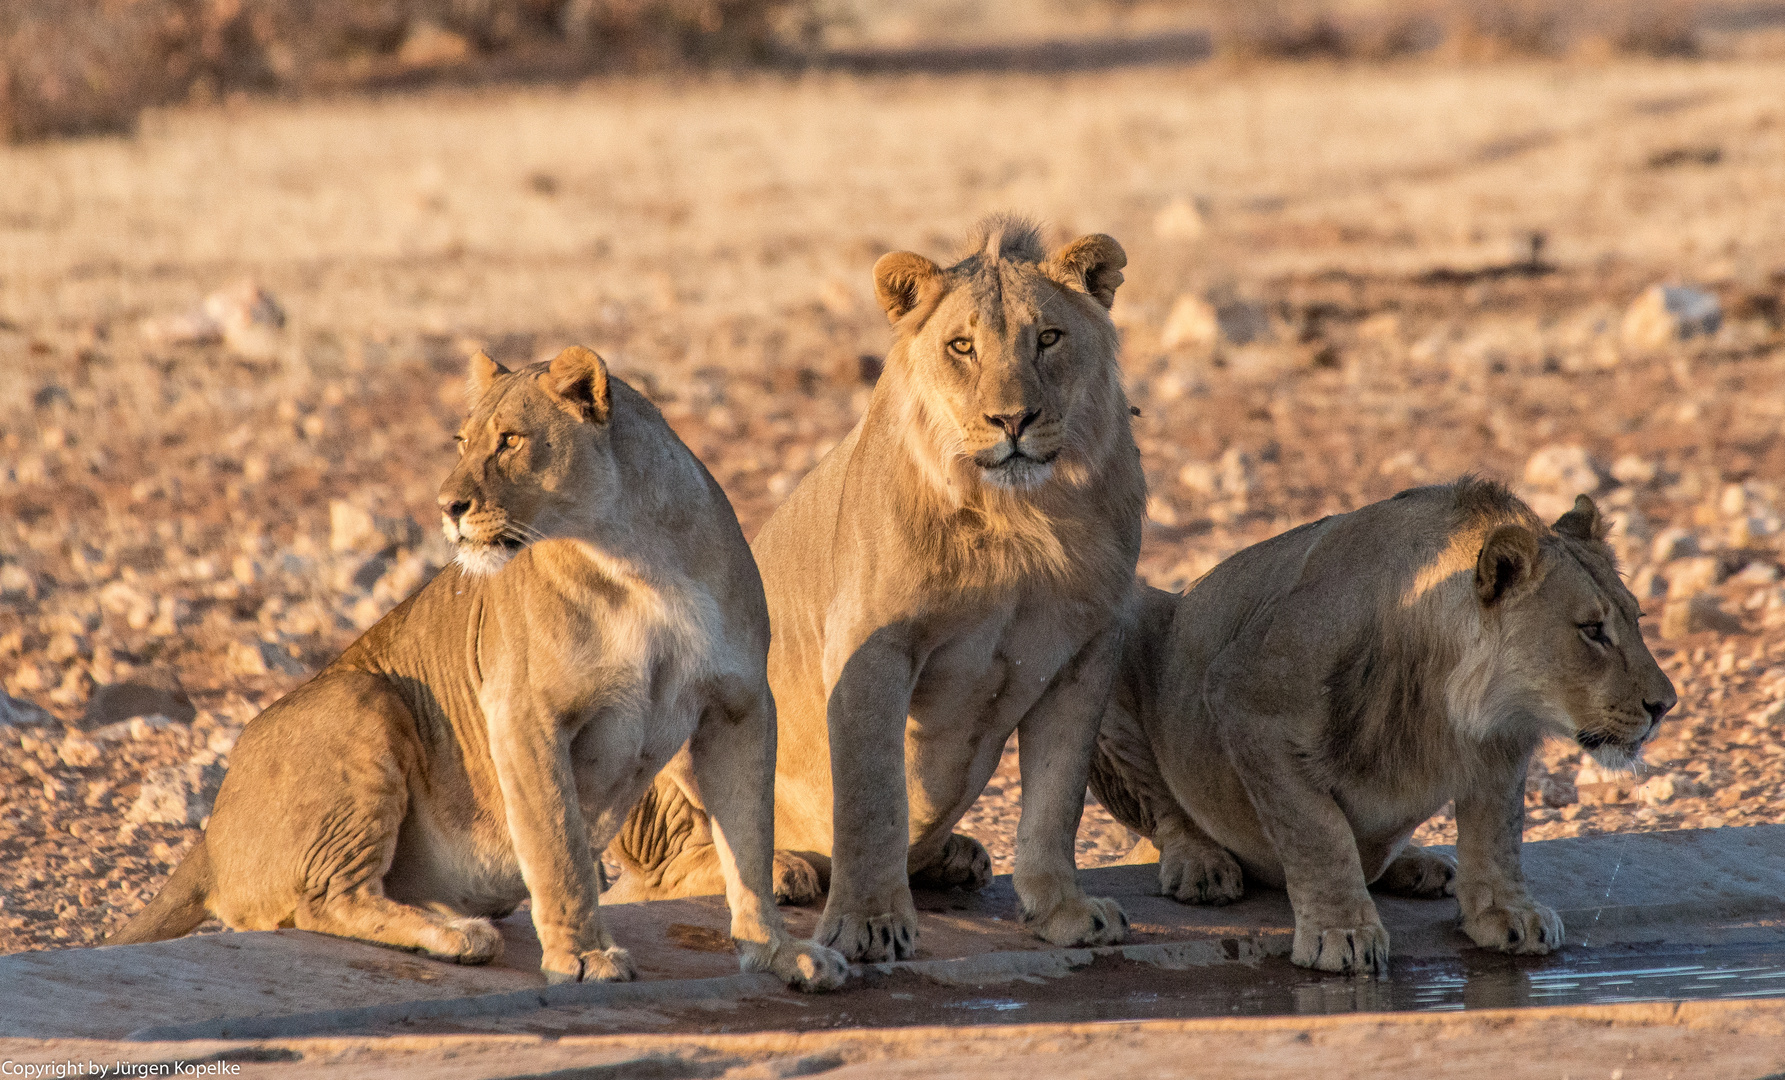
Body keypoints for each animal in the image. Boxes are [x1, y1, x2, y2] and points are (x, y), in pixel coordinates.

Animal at [111, 348, 849, 992]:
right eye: (461, 441)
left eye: (510, 440)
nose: (446, 507)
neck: (639, 560)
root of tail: (210, 833)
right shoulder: (523, 712)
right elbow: (558, 847)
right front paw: (583, 957)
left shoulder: (739, 705)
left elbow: (748, 840)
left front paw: (782, 953)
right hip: (362, 696)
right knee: (323, 897)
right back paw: (454, 935)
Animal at [606, 212, 1149, 956]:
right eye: (961, 346)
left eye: (1048, 338)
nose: (1013, 421)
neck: (1016, 518)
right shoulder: (869, 649)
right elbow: (871, 797)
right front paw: (868, 925)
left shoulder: (1086, 652)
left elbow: (1056, 797)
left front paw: (1064, 912)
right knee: (670, 870)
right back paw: (786, 868)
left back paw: (954, 856)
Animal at [1085, 474, 1670, 971]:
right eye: (1592, 630)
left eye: (1637, 619)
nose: (1666, 704)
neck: (1448, 694)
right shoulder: (1245, 697)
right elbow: (1318, 831)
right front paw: (1341, 932)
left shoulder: (1501, 739)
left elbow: (1499, 832)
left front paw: (1507, 913)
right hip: (1117, 629)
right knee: (1167, 814)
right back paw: (1201, 866)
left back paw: (1419, 865)